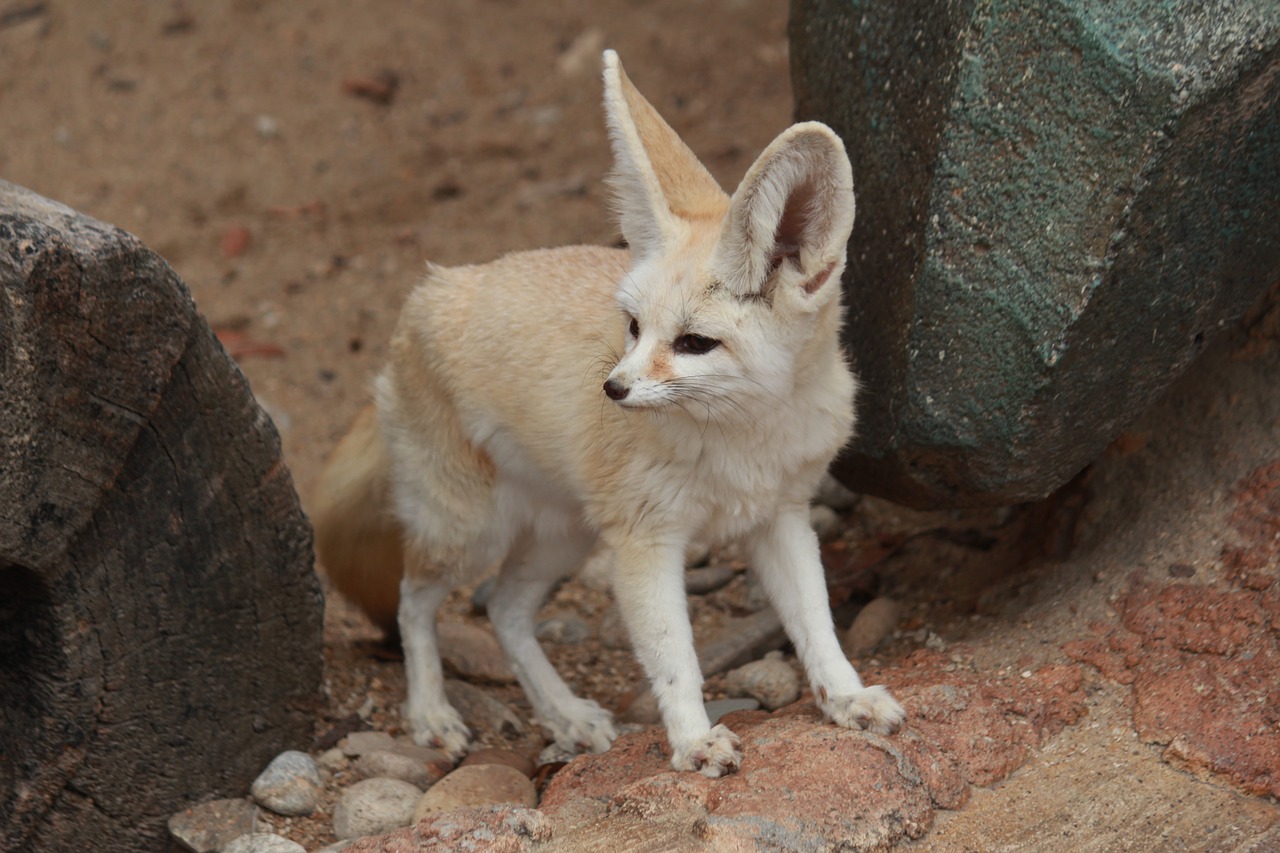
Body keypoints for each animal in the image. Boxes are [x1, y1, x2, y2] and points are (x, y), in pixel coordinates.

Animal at [313, 49, 906, 773]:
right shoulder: (645, 540)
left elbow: (817, 624)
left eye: (694, 343)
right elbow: (674, 656)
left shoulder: (780, 516)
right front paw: (693, 739)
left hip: (564, 534)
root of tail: (435, 286)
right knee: (411, 604)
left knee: (505, 611)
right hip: (469, 531)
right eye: (633, 327)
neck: (740, 441)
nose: (613, 389)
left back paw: (565, 713)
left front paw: (846, 697)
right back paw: (430, 712)